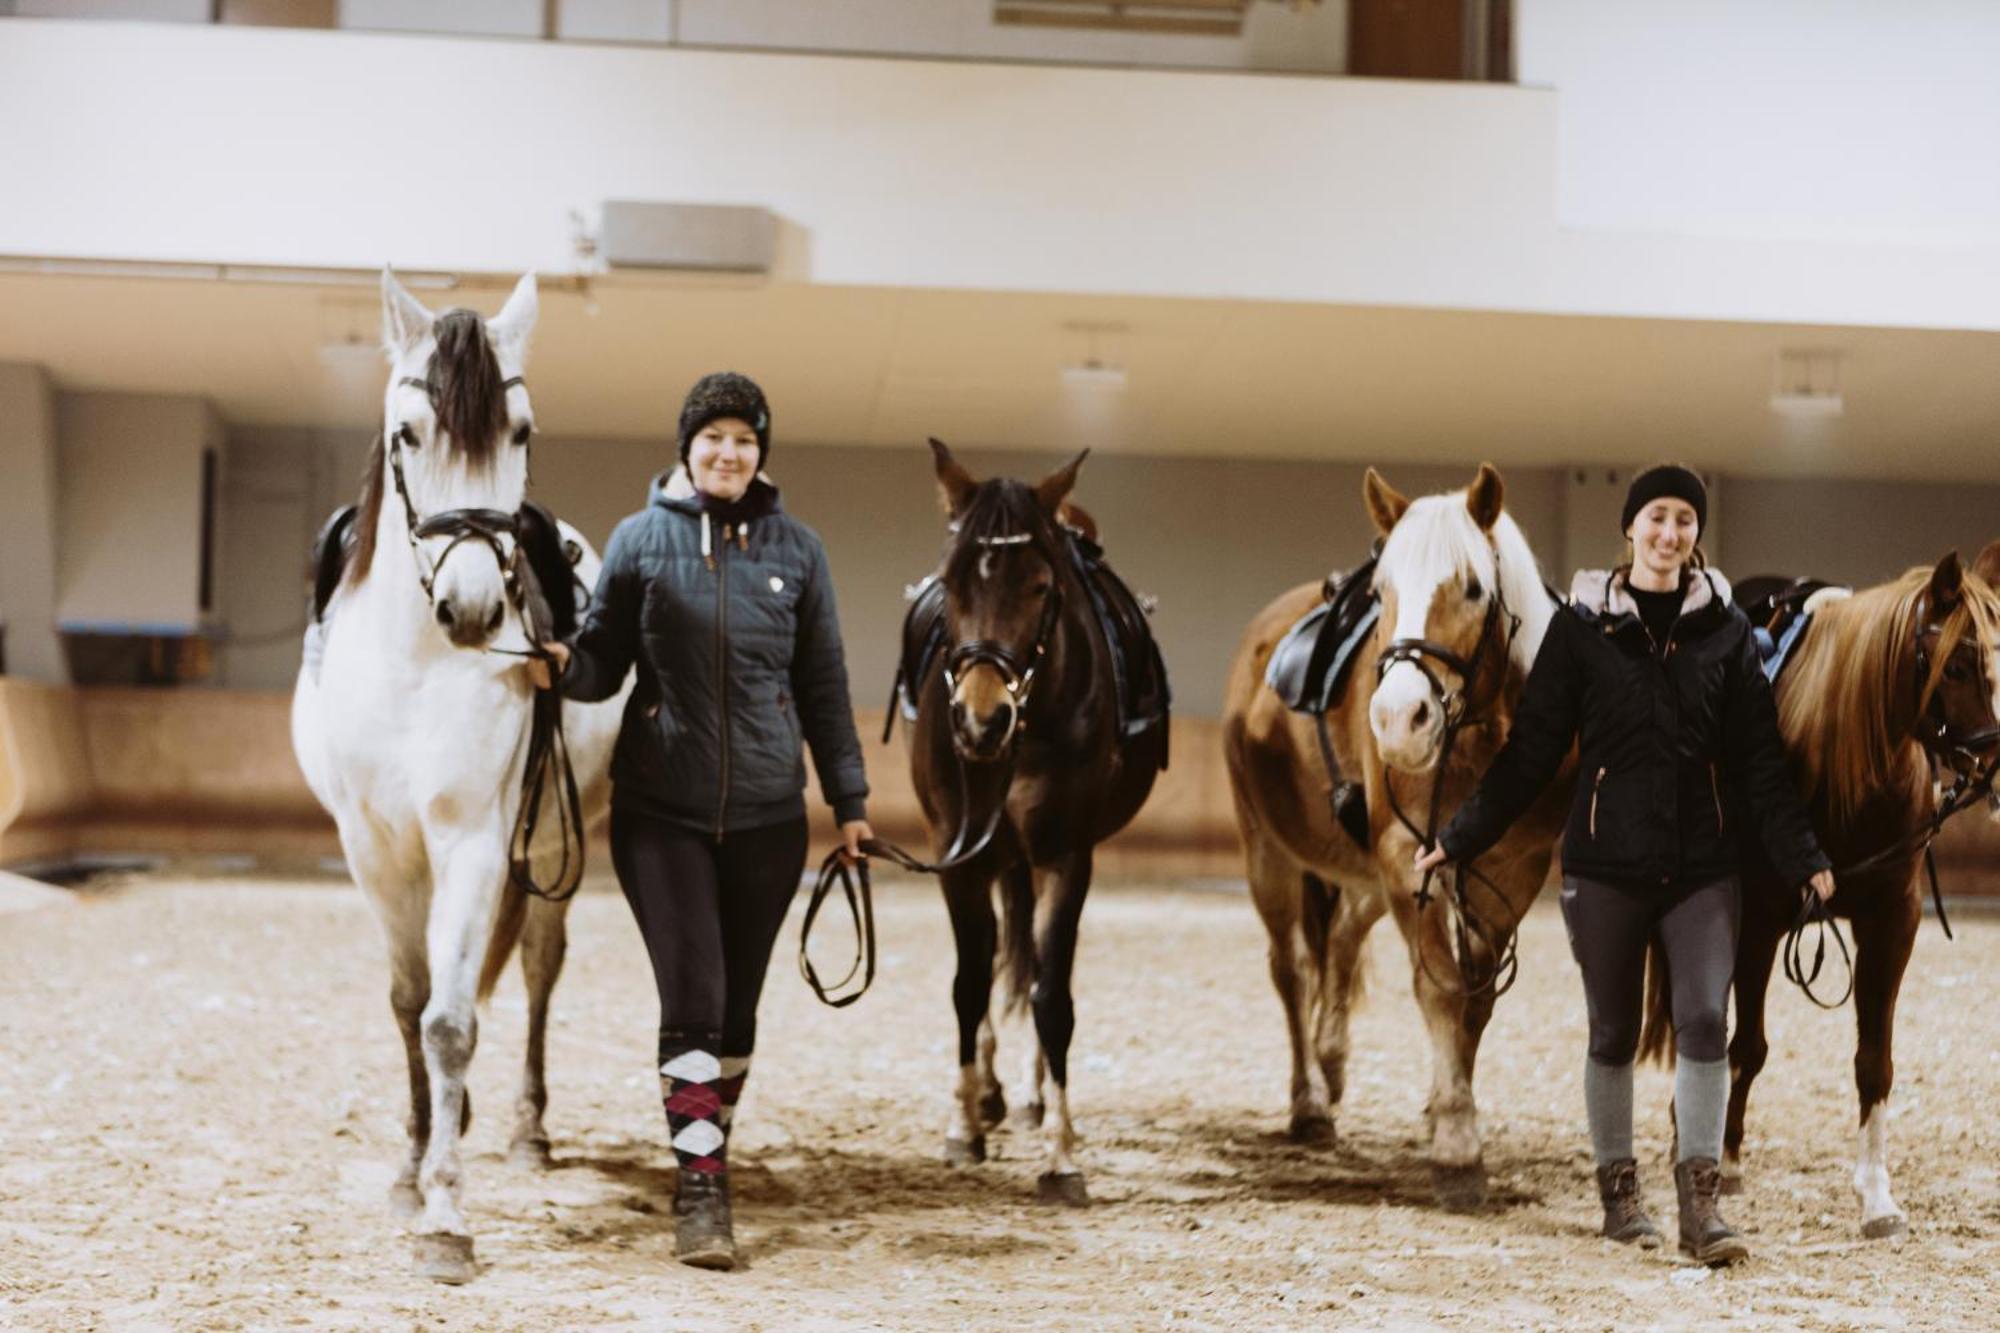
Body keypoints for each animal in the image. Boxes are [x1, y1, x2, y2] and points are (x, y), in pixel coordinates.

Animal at [290, 270, 624, 1280]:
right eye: (408, 432)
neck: (416, 663)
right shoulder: (373, 850)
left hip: (551, 843)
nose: (472, 608)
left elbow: (450, 1022)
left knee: (540, 967)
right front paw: (411, 1168)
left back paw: (526, 1129)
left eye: (521, 432)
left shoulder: (475, 838)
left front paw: (446, 1213)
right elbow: (410, 1004)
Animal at [912, 438, 1168, 1200]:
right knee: (1001, 954)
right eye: (951, 583)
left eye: (1040, 587)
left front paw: (1061, 1152)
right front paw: (963, 1124)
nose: (981, 719)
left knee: (1027, 964)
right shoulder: (960, 854)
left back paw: (1028, 1097)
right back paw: (991, 1093)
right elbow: (969, 982)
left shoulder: (1065, 854)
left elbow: (1051, 993)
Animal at [1216, 464, 1560, 1200]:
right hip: (1268, 853)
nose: (1400, 719)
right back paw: (1309, 1100)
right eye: (1381, 592)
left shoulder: (1511, 872)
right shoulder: (1406, 857)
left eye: (1473, 587)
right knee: (1292, 968)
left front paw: (1445, 1107)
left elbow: (1475, 999)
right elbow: (1439, 985)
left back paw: (1332, 1063)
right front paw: (1457, 1141)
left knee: (1343, 940)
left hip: (1365, 876)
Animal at [1640, 540, 2000, 1232]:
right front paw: (1725, 1161)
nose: (1995, 765)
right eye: (1958, 664)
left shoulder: (1892, 920)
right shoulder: (1757, 923)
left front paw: (1877, 1193)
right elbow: (1745, 1047)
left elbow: (1874, 1060)